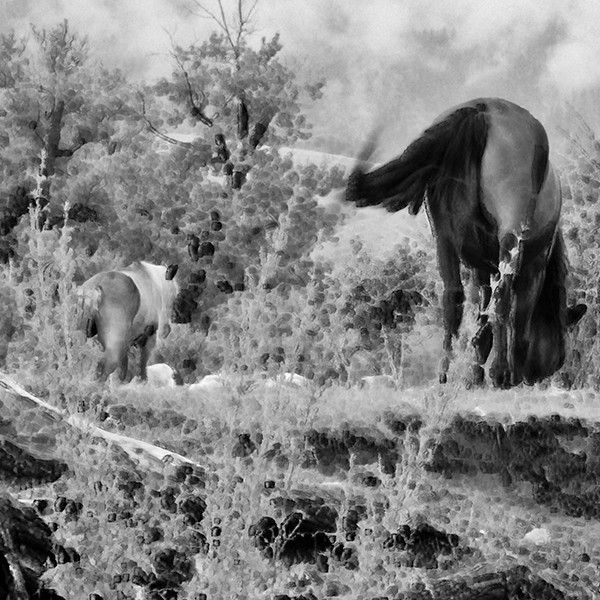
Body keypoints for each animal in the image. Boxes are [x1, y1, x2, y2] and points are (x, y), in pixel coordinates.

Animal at [346, 97, 584, 390]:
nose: (536, 376)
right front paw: (504, 372)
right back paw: (499, 372)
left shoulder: (480, 268)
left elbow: (481, 317)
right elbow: (516, 321)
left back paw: (444, 375)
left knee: (452, 299)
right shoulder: (533, 269)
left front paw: (475, 374)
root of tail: (481, 110)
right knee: (502, 298)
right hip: (510, 237)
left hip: (444, 240)